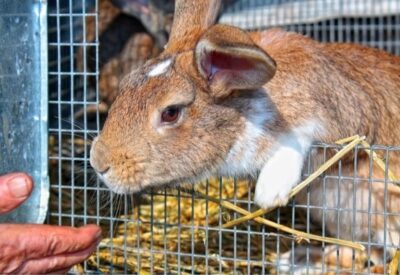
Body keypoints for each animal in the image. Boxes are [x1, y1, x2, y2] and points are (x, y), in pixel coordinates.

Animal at [90, 0, 400, 270]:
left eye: (171, 112)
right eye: (125, 85)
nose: (99, 163)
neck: (244, 103)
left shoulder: (345, 116)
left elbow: (300, 136)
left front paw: (270, 191)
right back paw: (297, 260)